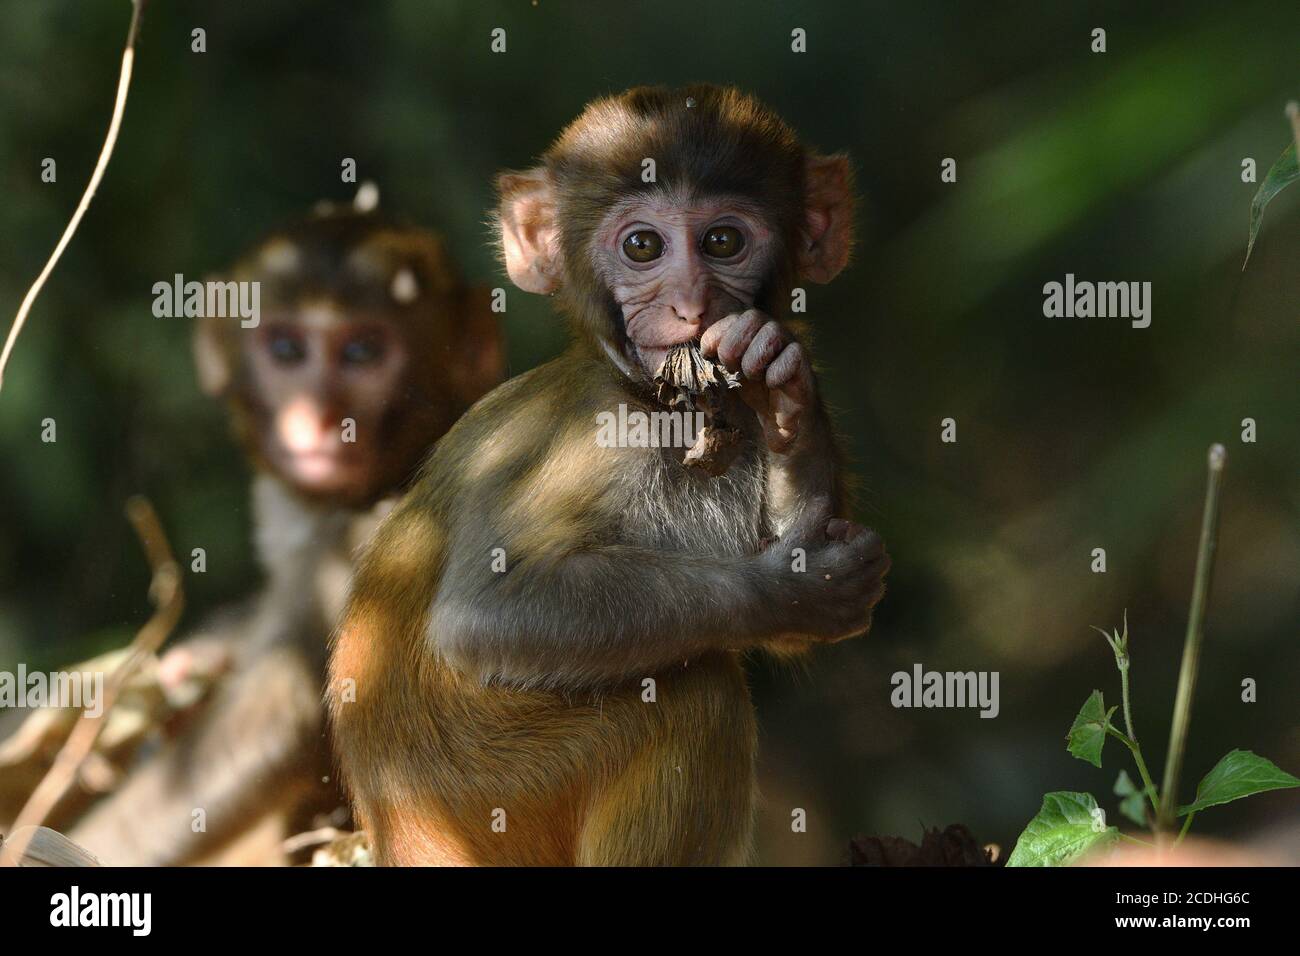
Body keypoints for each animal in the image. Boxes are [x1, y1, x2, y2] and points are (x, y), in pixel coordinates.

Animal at [329, 85, 889, 866]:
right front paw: (795, 587)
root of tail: (394, 826)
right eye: (642, 247)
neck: (657, 402)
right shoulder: (591, 438)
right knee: (697, 694)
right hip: (490, 784)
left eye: (723, 242)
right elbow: (483, 614)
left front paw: (787, 404)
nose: (690, 304)